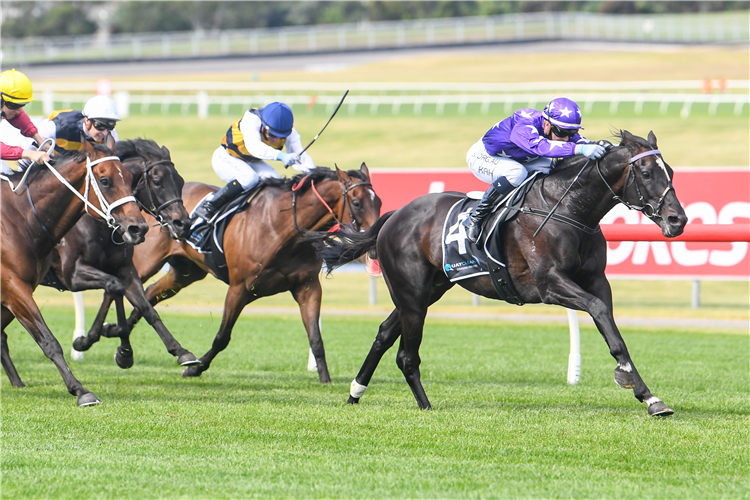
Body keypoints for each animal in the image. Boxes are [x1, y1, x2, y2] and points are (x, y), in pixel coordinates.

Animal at [0, 136, 148, 406]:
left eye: (131, 179)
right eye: (105, 180)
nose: (138, 228)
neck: (18, 219)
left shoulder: (16, 291)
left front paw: (124, 353)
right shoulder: (14, 287)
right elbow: (49, 340)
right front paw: (80, 390)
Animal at [44, 139, 200, 370]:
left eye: (180, 181)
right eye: (157, 181)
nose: (183, 223)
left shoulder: (125, 270)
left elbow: (145, 307)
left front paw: (180, 351)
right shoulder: (72, 274)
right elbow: (115, 290)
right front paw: (115, 346)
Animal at [100, 165, 382, 382]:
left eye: (378, 201)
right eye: (357, 202)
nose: (374, 241)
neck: (283, 230)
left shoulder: (307, 286)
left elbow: (316, 338)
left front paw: (325, 379)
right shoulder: (240, 288)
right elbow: (222, 337)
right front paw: (195, 369)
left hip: (185, 273)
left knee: (149, 295)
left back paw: (114, 332)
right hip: (146, 262)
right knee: (122, 289)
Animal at [314, 131, 692, 416]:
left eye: (671, 171)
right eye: (646, 173)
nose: (678, 219)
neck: (569, 209)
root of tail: (394, 215)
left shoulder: (597, 281)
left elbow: (612, 329)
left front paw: (649, 396)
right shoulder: (549, 284)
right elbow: (599, 312)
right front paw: (630, 381)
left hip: (428, 291)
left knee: (383, 334)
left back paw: (355, 392)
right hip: (412, 294)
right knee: (407, 355)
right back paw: (425, 405)